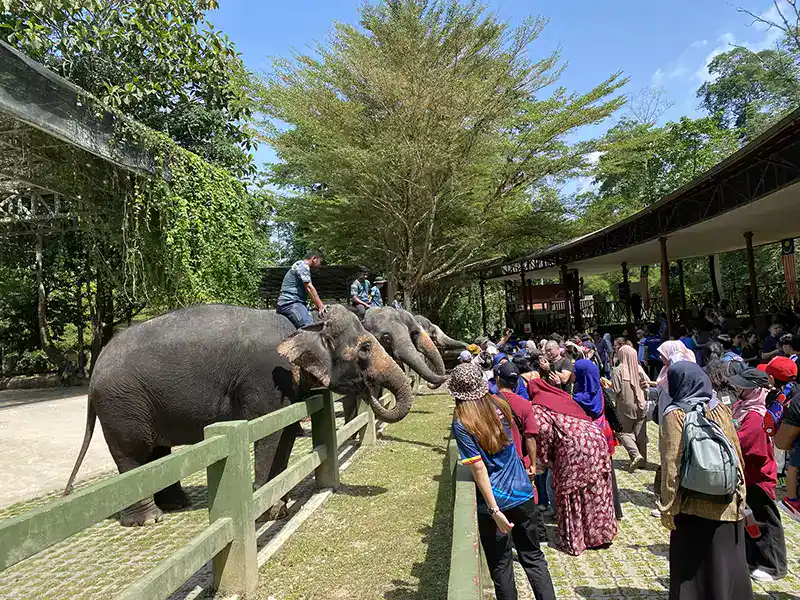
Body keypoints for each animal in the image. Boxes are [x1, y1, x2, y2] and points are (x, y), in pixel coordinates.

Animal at [63, 304, 412, 526]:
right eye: (365, 348)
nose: (369, 389)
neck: (303, 326)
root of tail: (95, 369)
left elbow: (285, 435)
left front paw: (281, 504)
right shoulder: (265, 379)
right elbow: (268, 434)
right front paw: (270, 510)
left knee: (157, 453)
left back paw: (176, 505)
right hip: (121, 405)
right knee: (132, 455)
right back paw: (149, 520)